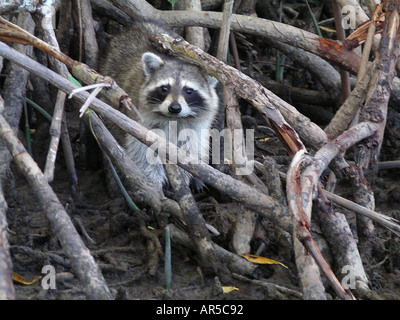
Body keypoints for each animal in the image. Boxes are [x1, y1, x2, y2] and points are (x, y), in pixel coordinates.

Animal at [99, 21, 219, 192]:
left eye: (188, 91)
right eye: (165, 88)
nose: (174, 108)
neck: (173, 118)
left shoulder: (195, 126)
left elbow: (190, 147)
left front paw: (184, 176)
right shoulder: (140, 121)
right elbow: (142, 150)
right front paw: (154, 182)